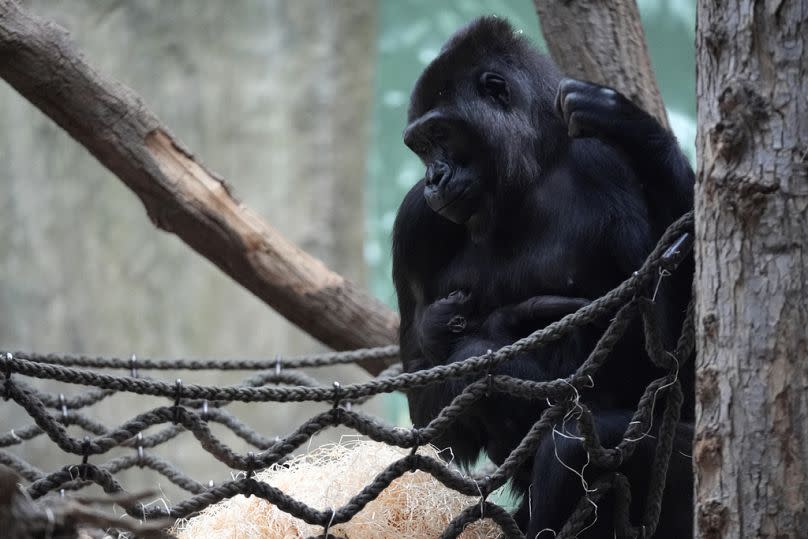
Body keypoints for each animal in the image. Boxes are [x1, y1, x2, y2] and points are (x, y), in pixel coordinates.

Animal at [392, 15, 696, 536]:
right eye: (422, 145)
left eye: (442, 134)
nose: (433, 178)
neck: (530, 170)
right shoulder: (413, 221)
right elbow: (430, 410)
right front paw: (474, 337)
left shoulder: (606, 168)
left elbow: (668, 366)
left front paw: (634, 127)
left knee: (575, 443)